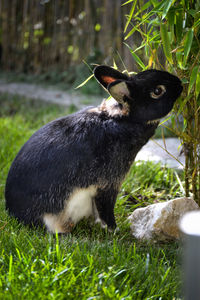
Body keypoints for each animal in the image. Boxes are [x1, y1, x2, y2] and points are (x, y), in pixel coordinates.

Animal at [5, 67, 183, 233]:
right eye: (157, 91)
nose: (181, 84)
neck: (124, 119)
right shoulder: (108, 183)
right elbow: (105, 208)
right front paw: (114, 230)